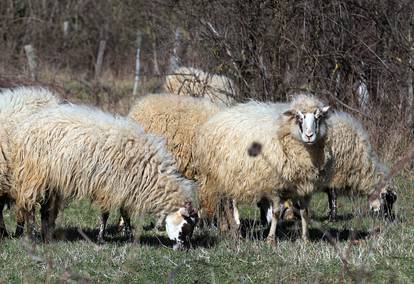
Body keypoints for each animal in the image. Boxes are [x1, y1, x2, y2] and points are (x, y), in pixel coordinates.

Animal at [9, 102, 197, 246]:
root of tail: (25, 126)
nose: (183, 249)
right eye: (187, 226)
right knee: (29, 207)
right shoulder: (109, 186)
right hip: (34, 175)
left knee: (45, 209)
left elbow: (124, 213)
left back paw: (46, 236)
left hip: (50, 179)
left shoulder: (124, 185)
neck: (149, 170)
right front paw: (101, 239)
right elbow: (105, 214)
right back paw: (33, 237)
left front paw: (129, 236)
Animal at [194, 95, 334, 244]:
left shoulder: (305, 186)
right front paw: (271, 239)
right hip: (223, 175)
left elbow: (304, 212)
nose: (309, 136)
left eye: (318, 117)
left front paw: (306, 239)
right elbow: (276, 213)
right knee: (228, 204)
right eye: (299, 118)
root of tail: (215, 119)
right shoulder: (274, 185)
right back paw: (236, 233)